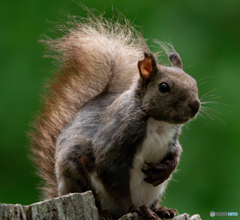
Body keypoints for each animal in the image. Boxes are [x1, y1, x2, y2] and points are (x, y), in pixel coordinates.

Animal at [29, 9, 201, 220]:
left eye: (193, 82)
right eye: (164, 87)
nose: (195, 105)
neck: (158, 123)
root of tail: (59, 193)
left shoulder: (172, 138)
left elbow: (176, 152)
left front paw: (166, 169)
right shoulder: (116, 140)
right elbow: (113, 176)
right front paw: (134, 208)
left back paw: (160, 210)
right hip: (75, 173)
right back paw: (108, 212)